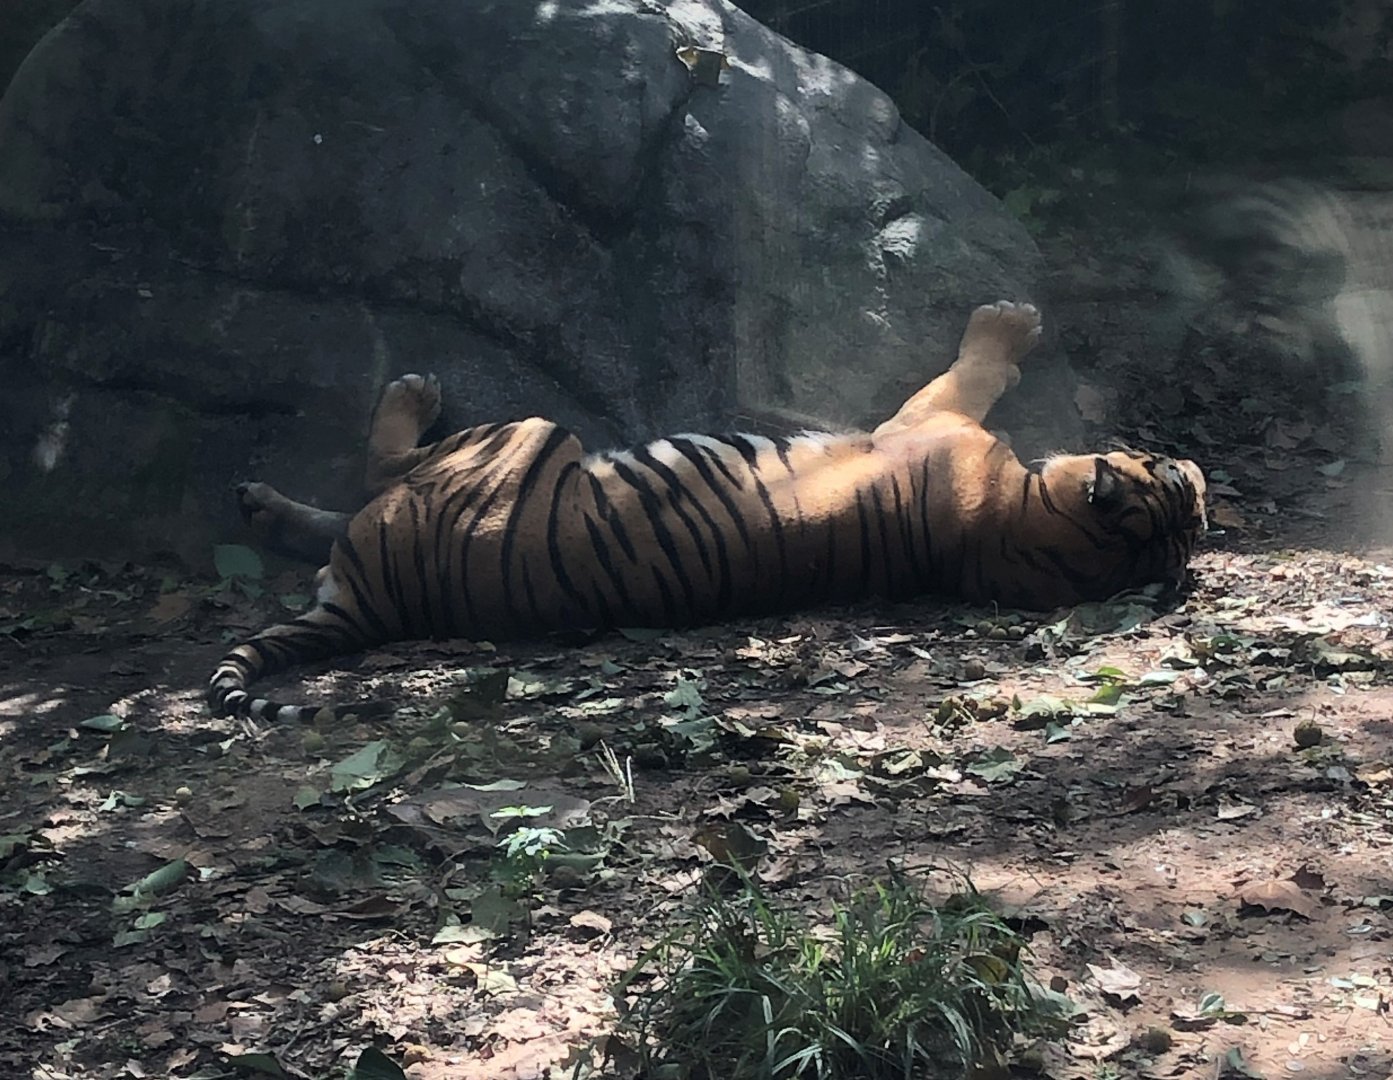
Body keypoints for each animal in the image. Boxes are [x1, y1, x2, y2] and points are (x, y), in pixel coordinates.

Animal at [209, 301, 1207, 721]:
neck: (1023, 525)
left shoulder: (932, 414)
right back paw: (261, 497)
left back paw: (401, 398)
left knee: (380, 470)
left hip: (517, 437)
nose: (1198, 466)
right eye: (1178, 484)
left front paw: (1007, 318)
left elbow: (976, 363)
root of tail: (385, 605)